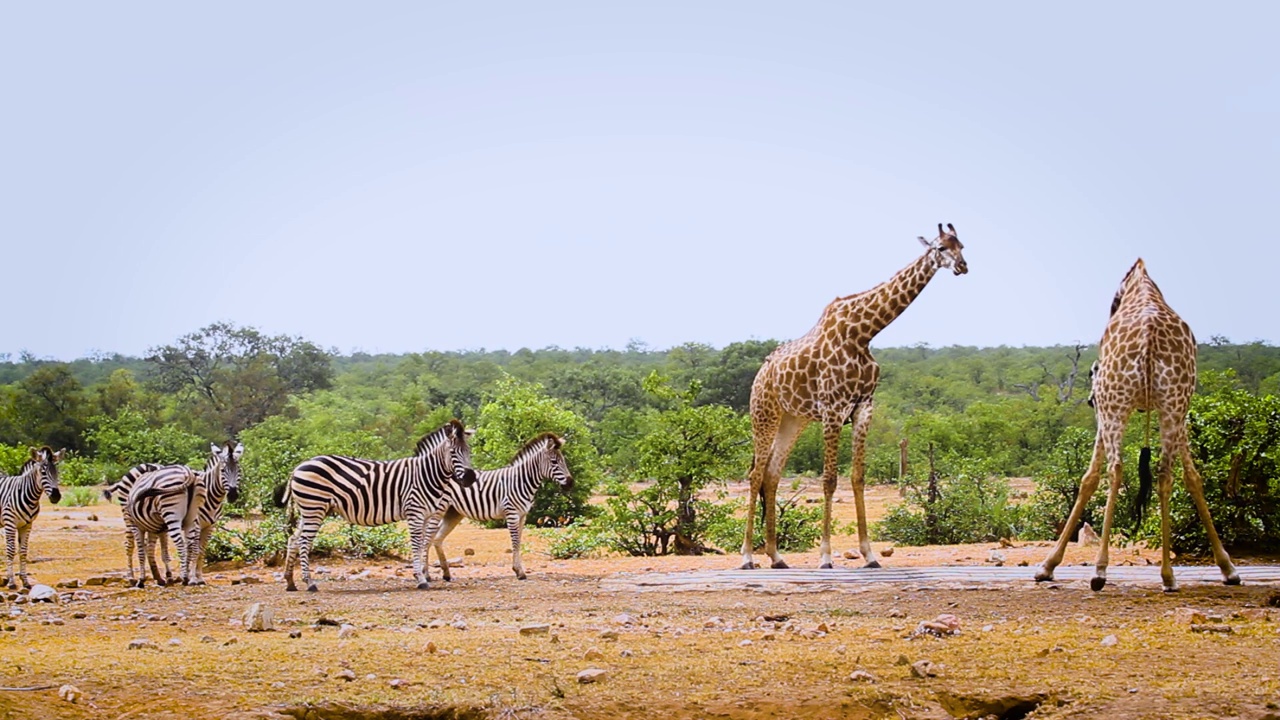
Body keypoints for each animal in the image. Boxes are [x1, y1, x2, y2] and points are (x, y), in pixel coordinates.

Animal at [0, 443, 63, 589]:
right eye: (43, 472)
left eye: (57, 472)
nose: (56, 496)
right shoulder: (10, 523)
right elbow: (11, 550)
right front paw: (11, 582)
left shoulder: (27, 525)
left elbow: (23, 551)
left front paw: (25, 581)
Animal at [277, 417, 478, 591]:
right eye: (452, 452)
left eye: (469, 451)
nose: (470, 478)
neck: (427, 474)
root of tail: (297, 468)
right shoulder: (415, 512)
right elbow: (416, 543)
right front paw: (421, 579)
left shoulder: (428, 513)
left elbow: (423, 543)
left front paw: (422, 574)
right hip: (314, 507)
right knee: (304, 541)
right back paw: (309, 583)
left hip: (309, 510)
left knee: (293, 539)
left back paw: (290, 582)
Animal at [427, 430, 573, 576]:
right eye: (554, 462)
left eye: (564, 461)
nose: (570, 483)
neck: (520, 481)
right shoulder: (511, 513)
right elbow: (515, 541)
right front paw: (518, 571)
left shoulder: (522, 516)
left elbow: (519, 541)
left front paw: (519, 570)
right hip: (437, 509)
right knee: (428, 535)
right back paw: (427, 574)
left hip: (453, 512)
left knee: (437, 538)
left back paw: (445, 572)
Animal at [742, 221, 967, 568]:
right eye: (941, 248)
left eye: (963, 246)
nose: (962, 267)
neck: (863, 333)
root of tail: (760, 374)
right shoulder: (833, 408)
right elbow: (829, 480)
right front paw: (825, 557)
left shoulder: (863, 407)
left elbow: (858, 477)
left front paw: (870, 555)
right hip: (764, 414)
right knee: (755, 475)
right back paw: (747, 556)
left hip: (793, 420)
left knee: (772, 475)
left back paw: (776, 556)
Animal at [1039, 257, 1239, 589]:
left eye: (1092, 373)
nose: (1089, 400)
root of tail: (1149, 338)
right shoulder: (1181, 412)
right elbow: (1194, 477)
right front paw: (1228, 568)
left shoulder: (1104, 411)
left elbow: (1088, 478)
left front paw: (1047, 566)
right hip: (1171, 404)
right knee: (1164, 473)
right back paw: (1168, 575)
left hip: (1115, 405)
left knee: (1116, 469)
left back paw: (1100, 571)